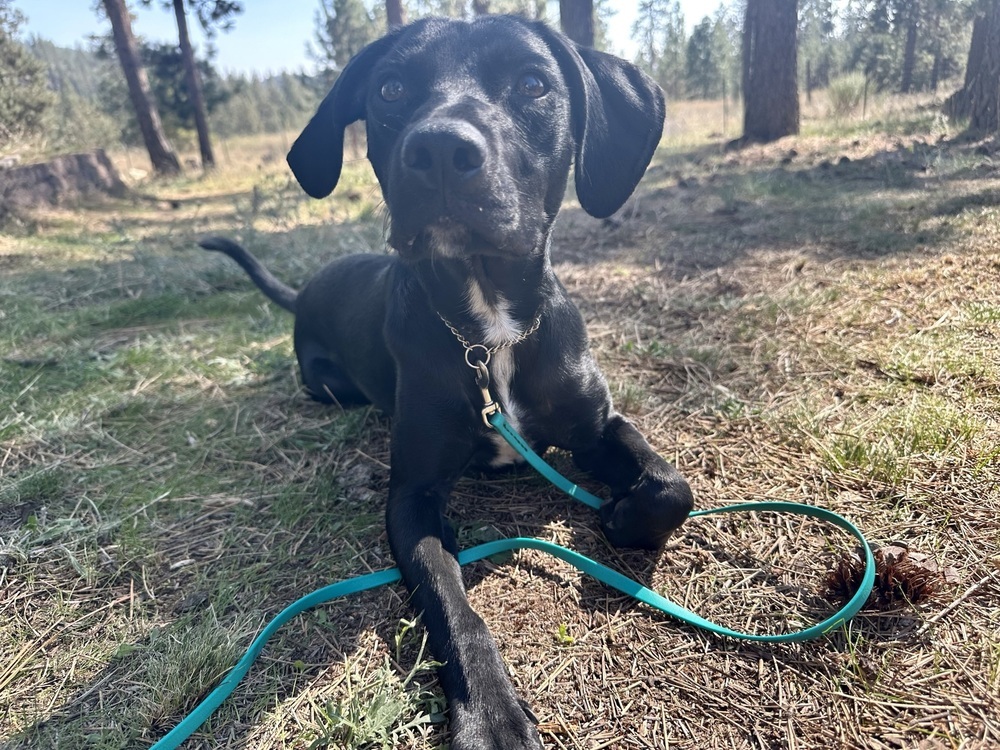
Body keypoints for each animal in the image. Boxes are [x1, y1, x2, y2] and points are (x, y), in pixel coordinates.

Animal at [199, 13, 692, 750]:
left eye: (533, 83)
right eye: (390, 88)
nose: (437, 150)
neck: (488, 334)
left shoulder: (598, 426)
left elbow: (671, 486)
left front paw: (627, 512)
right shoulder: (413, 498)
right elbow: (452, 605)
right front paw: (490, 714)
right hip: (329, 387)